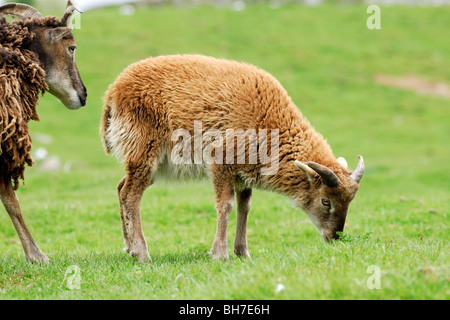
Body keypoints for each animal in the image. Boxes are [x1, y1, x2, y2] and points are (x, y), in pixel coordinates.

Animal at [100, 53, 364, 262]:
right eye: (325, 201)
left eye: (350, 202)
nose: (334, 238)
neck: (269, 123)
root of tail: (113, 92)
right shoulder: (220, 162)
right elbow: (225, 205)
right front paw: (220, 254)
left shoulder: (243, 174)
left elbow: (244, 208)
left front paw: (242, 253)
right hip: (144, 151)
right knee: (131, 194)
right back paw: (142, 253)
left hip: (154, 163)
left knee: (121, 186)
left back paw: (129, 248)